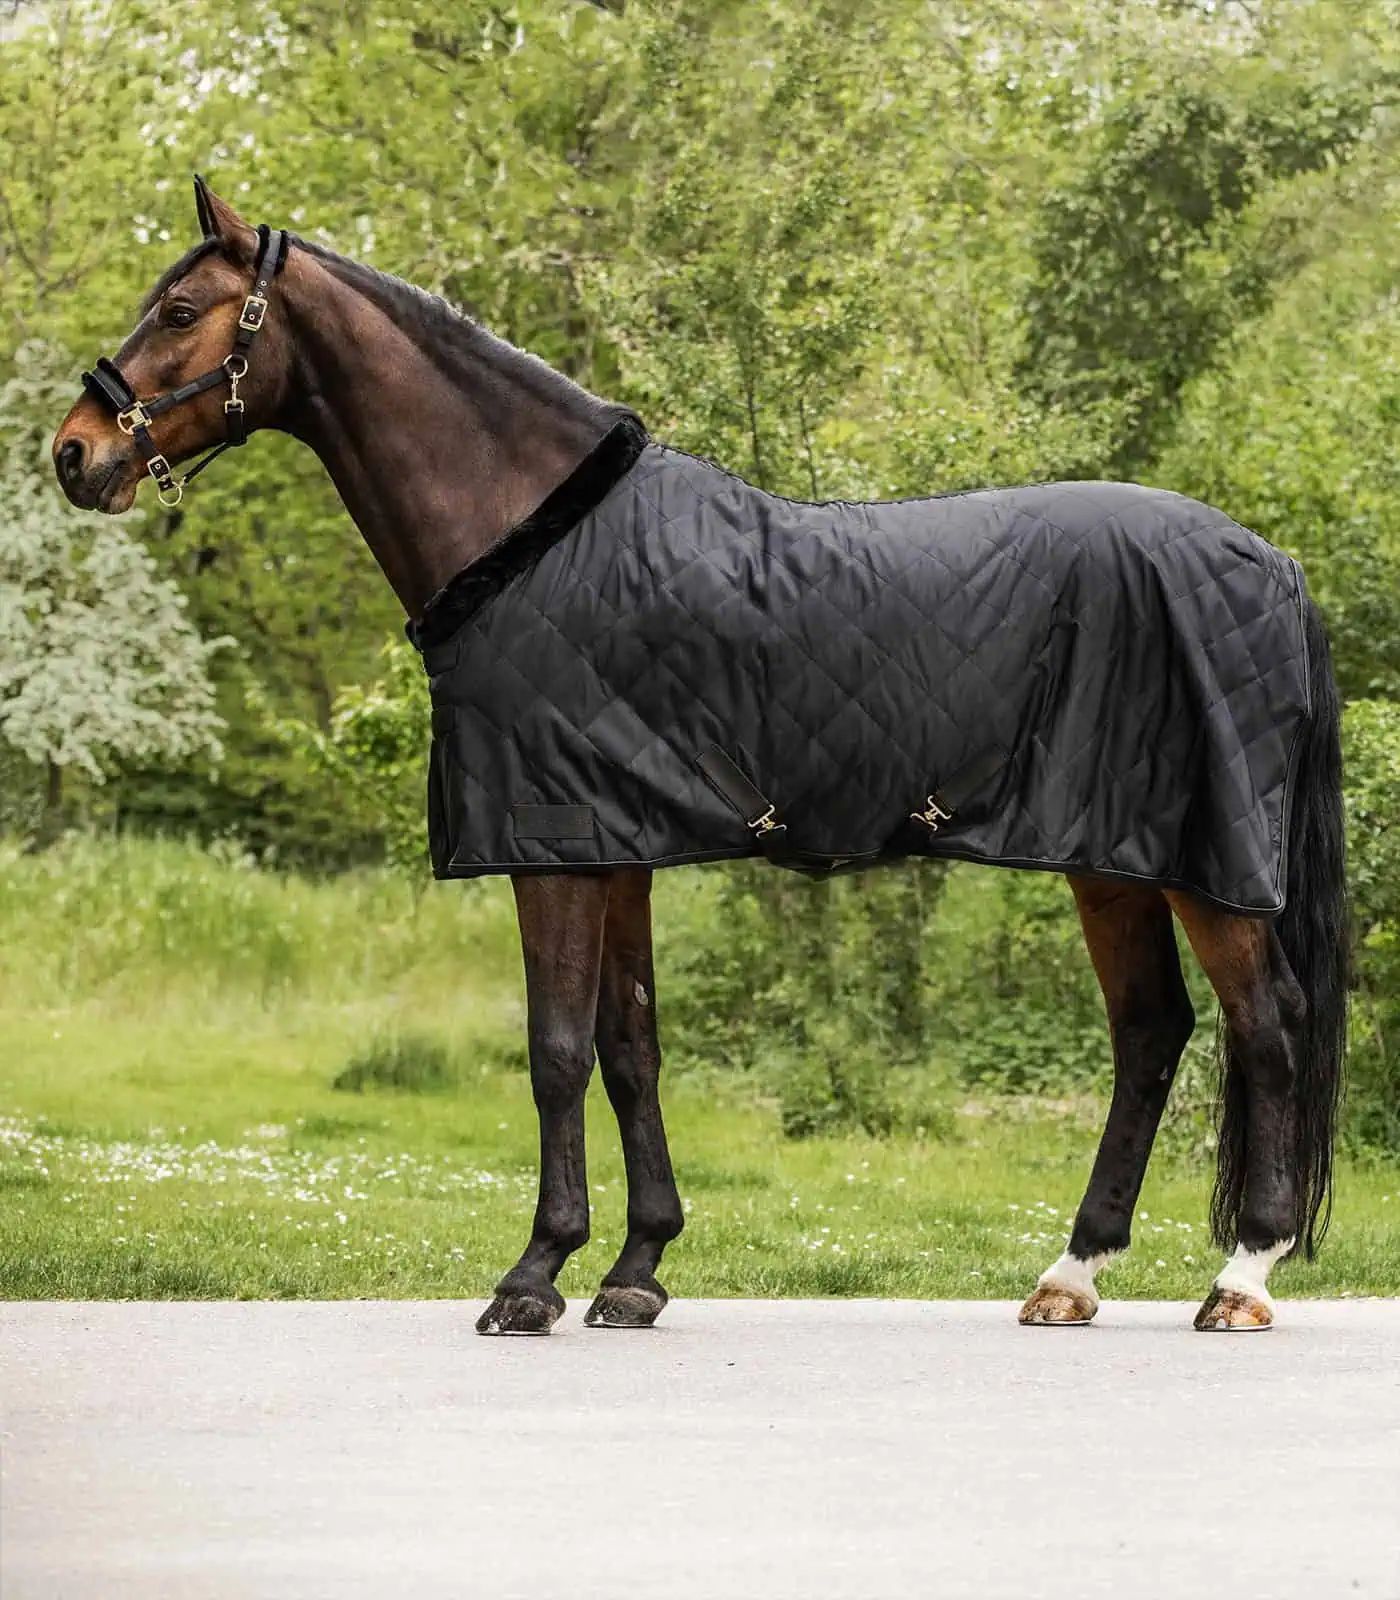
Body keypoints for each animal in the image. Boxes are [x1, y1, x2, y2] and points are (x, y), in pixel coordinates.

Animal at [52, 179, 1347, 1336]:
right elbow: (630, 1050)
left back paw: (1240, 1275)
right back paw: (1068, 1275)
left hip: (1203, 867)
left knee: (1266, 1023)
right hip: (1110, 857)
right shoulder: (616, 844)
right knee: (1150, 1033)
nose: (73, 453)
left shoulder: (558, 846)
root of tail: (1271, 564)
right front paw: (635, 1270)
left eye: (180, 310)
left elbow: (555, 1052)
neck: (532, 537)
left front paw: (533, 1276)